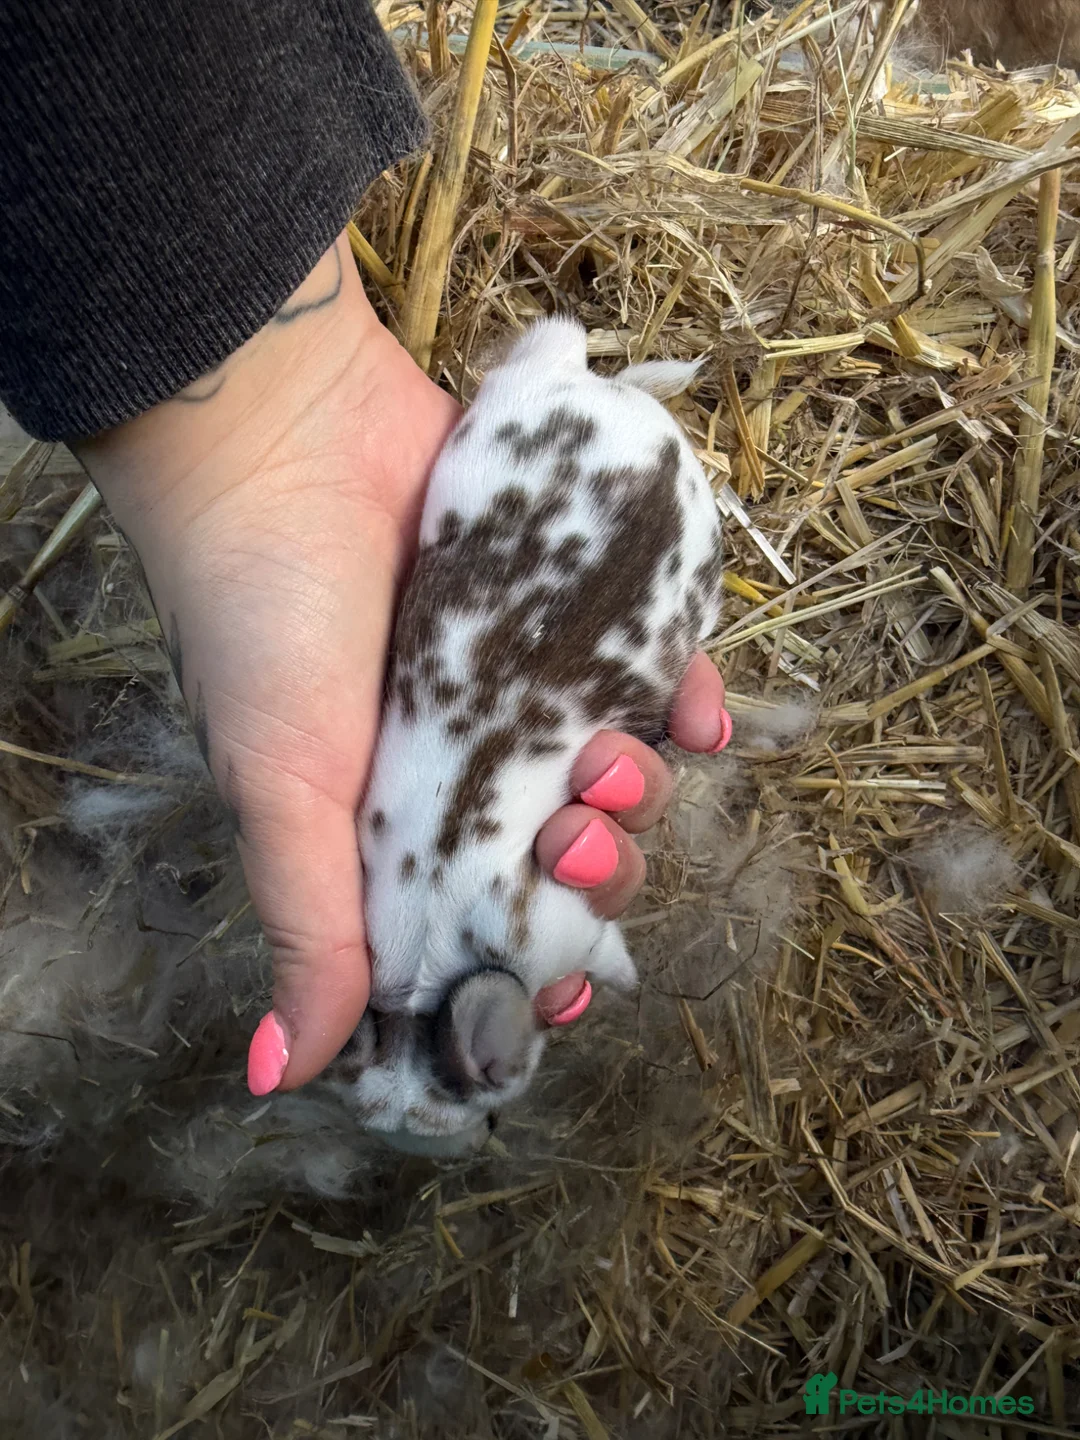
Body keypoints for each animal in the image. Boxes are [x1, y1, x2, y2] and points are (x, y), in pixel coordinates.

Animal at [325, 317, 724, 1155]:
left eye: (491, 1113)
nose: (476, 1147)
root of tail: (631, 417)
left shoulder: (572, 928)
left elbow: (607, 952)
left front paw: (629, 980)